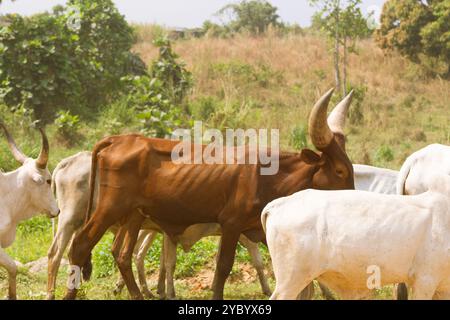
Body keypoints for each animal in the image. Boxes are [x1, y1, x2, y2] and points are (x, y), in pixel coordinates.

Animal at [48, 152, 270, 300]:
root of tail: (67, 162)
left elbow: (163, 261)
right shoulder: (235, 229)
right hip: (70, 219)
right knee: (56, 254)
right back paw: (52, 293)